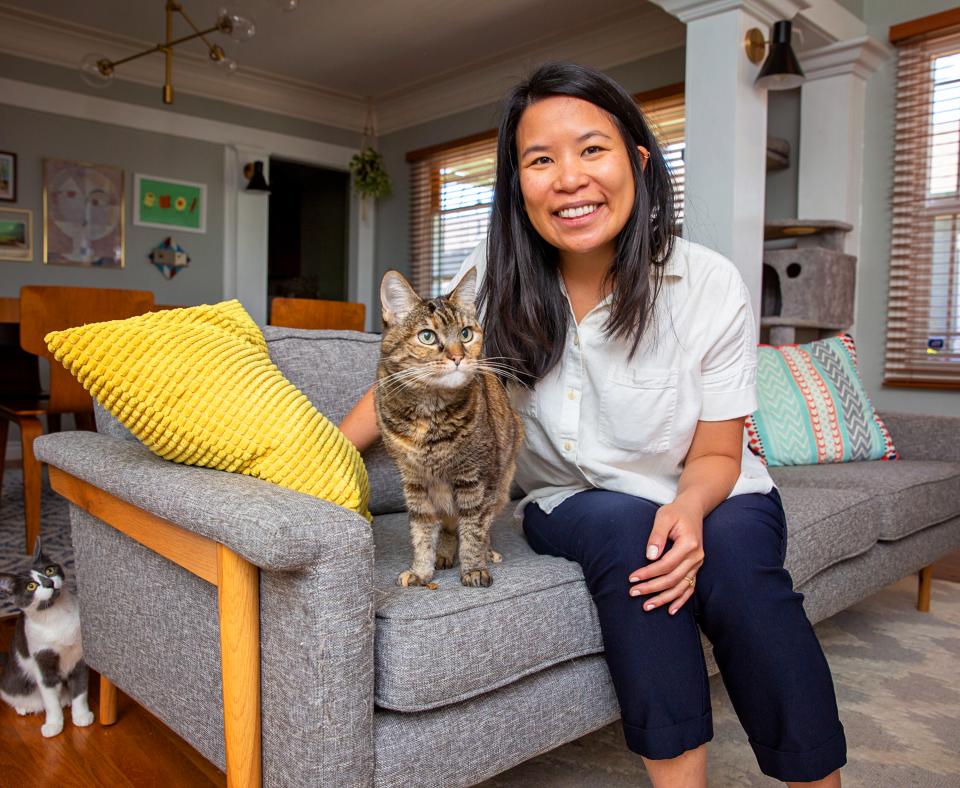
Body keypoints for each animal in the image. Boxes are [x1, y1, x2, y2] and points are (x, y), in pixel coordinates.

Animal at [0, 540, 93, 736]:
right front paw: (53, 725)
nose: (49, 582)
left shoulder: (80, 656)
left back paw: (66, 699)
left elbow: (81, 688)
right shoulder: (41, 656)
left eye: (49, 570)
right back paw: (23, 707)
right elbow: (49, 696)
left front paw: (81, 715)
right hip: (14, 681)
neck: (56, 615)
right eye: (31, 586)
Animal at [376, 268, 524, 588]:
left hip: (502, 484)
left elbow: (473, 529)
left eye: (466, 333)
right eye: (427, 336)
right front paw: (421, 571)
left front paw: (474, 569)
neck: (429, 415)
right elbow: (422, 532)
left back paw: (486, 553)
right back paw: (443, 554)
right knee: (446, 527)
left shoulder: (477, 478)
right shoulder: (414, 481)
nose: (458, 356)